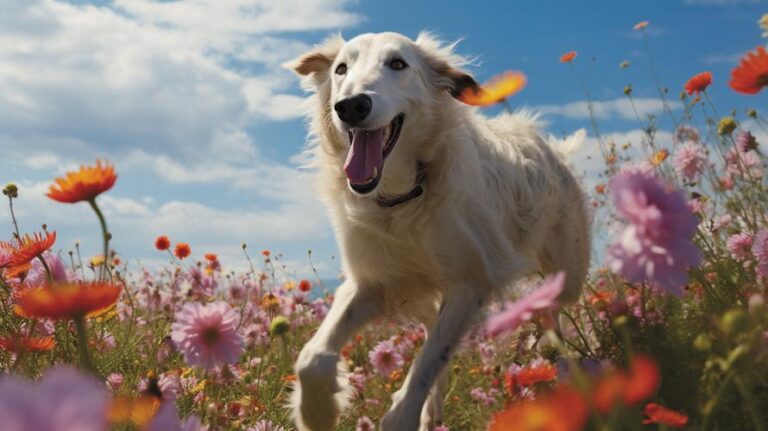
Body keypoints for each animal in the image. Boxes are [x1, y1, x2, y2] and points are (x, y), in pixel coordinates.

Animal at [284, 31, 592, 431]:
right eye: (340, 68)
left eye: (398, 64)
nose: (351, 106)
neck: (404, 198)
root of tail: (552, 148)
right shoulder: (370, 283)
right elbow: (313, 357)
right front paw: (318, 411)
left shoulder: (471, 282)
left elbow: (426, 366)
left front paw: (399, 415)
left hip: (569, 273)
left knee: (554, 304)